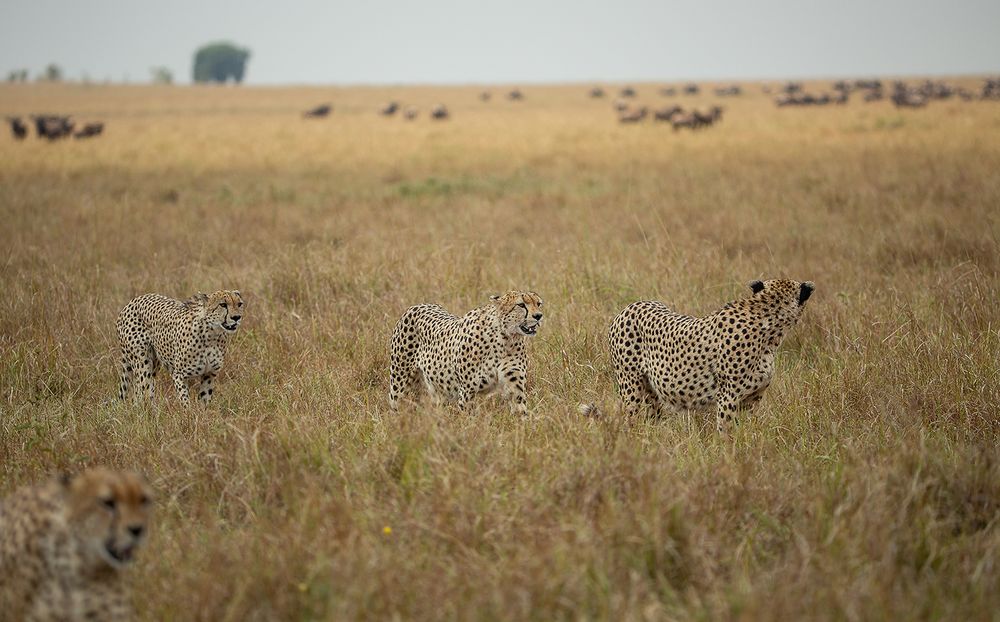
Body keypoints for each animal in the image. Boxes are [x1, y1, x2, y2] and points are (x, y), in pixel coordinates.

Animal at [114, 292, 244, 408]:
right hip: (142, 363)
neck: (212, 335)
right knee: (142, 392)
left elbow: (204, 400)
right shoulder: (179, 375)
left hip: (154, 364)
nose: (236, 317)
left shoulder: (209, 374)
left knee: (142, 391)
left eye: (239, 304)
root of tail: (133, 300)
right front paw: (188, 416)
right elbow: (185, 401)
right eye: (223, 304)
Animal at [390, 292, 548, 414]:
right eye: (521, 305)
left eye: (538, 303)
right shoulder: (467, 391)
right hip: (399, 384)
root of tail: (418, 305)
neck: (506, 339)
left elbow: (520, 410)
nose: (538, 316)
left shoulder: (514, 385)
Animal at [584, 282, 812, 434]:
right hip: (632, 390)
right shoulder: (728, 398)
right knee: (630, 422)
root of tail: (631, 306)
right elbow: (728, 433)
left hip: (651, 393)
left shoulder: (752, 399)